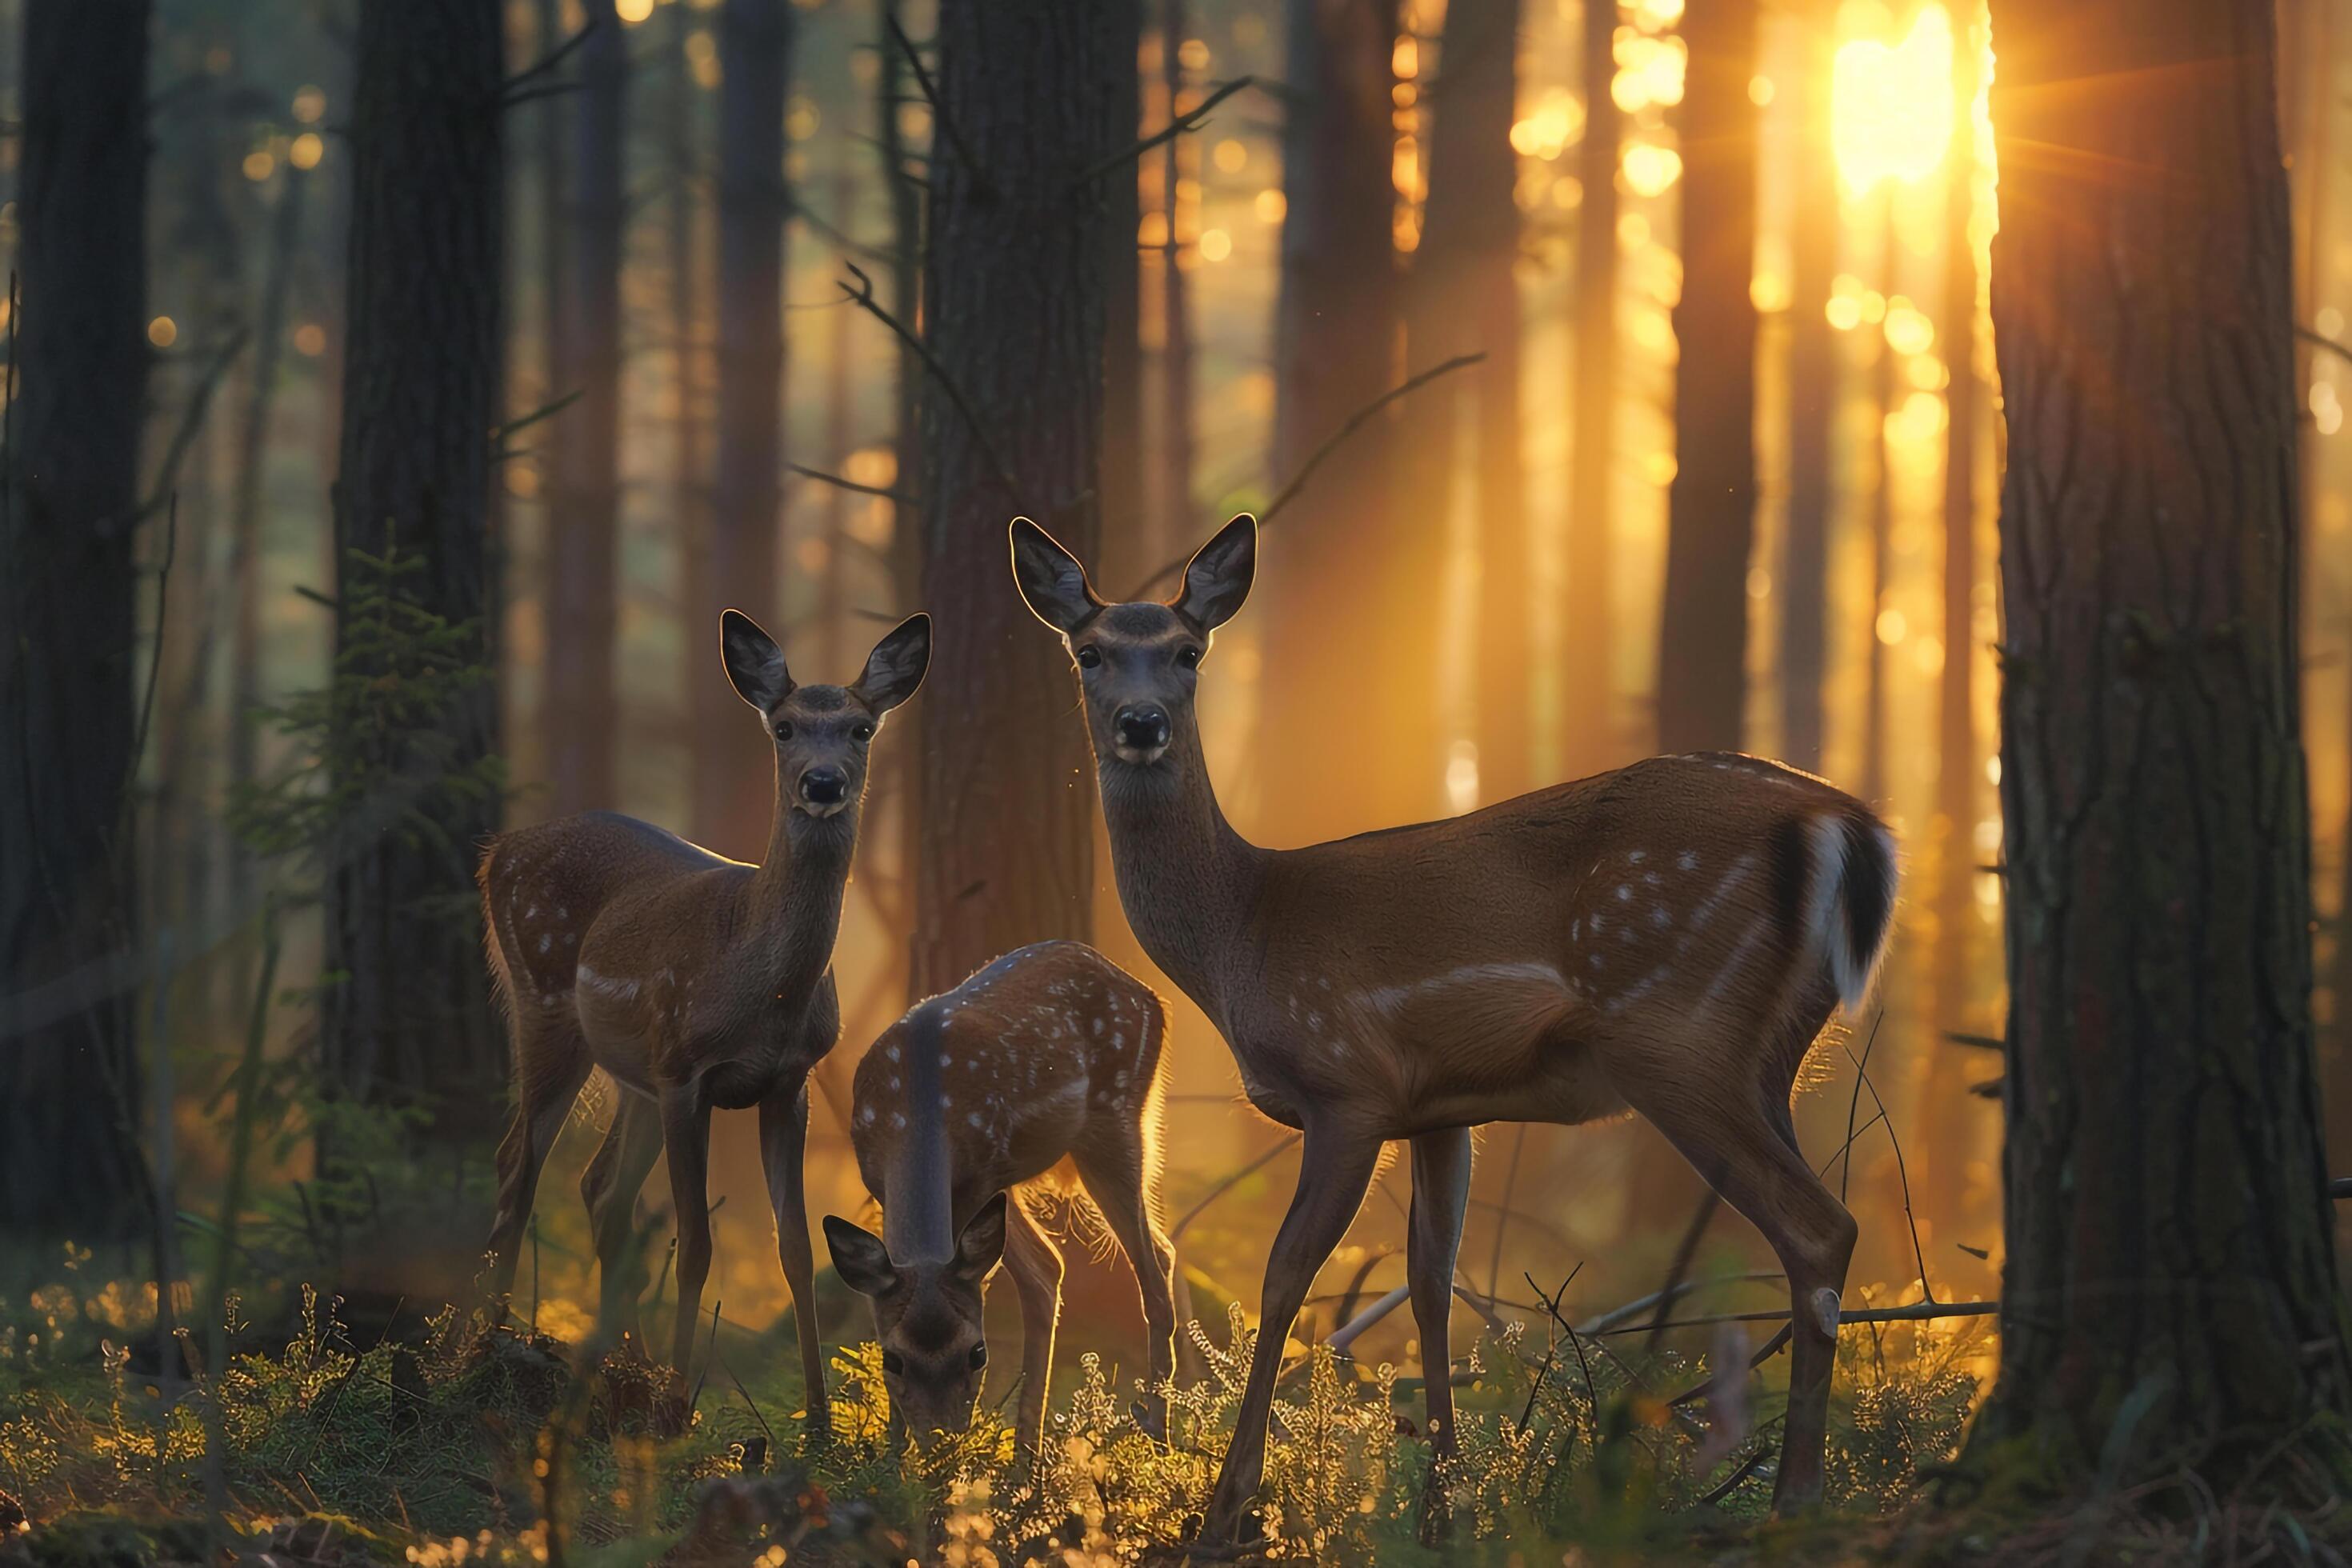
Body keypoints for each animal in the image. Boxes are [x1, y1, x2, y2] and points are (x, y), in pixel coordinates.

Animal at [474, 606, 926, 1429]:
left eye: (860, 728)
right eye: (783, 727)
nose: (821, 782)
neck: (762, 992)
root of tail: (498, 852)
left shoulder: (788, 1081)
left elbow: (794, 1249)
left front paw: (817, 1420)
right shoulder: (689, 1072)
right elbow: (696, 1246)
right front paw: (681, 1406)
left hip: (634, 1075)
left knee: (599, 1187)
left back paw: (626, 1363)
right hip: (546, 1004)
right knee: (517, 1162)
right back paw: (483, 1342)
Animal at [827, 940, 1185, 1457]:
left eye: (977, 1353)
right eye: (892, 1360)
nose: (941, 1441)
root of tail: (1150, 995)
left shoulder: (981, 1175)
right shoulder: (887, 1184)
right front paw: (892, 1461)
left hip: (1116, 1118)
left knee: (1151, 1265)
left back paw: (1156, 1434)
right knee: (1060, 1267)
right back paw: (1029, 1453)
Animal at [1006, 514, 1890, 1542]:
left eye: (1190, 651)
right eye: (1091, 651)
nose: (1141, 723)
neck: (1239, 937)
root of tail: (1851, 826)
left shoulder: (1344, 1084)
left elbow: (1283, 1276)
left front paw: (1226, 1510)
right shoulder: (1439, 1110)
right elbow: (1431, 1283)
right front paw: (1443, 1504)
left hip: (1680, 1033)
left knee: (1820, 1227)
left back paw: (1793, 1501)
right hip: (1767, 1051)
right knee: (1813, 1225)